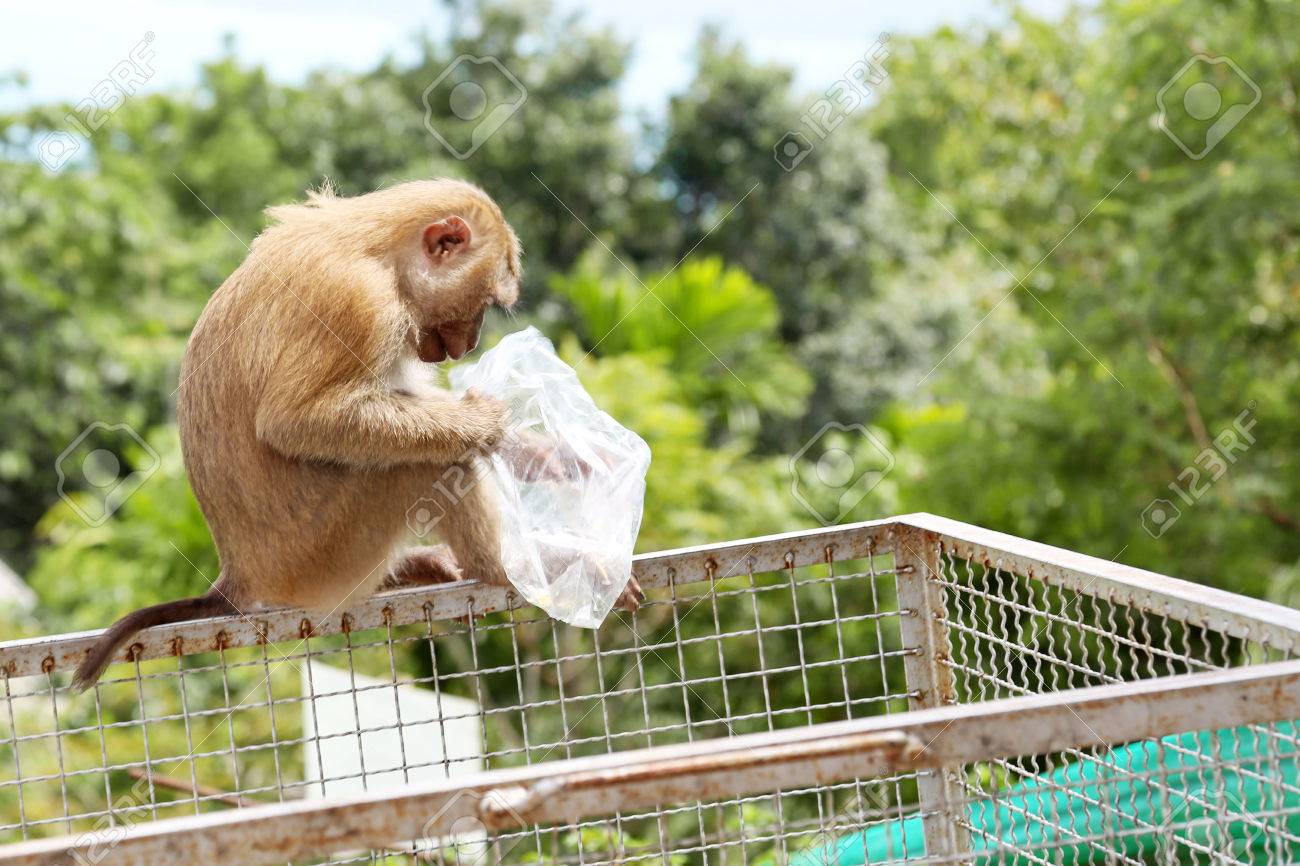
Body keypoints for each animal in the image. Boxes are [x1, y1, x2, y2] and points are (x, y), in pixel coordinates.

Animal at [72, 179, 643, 690]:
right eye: (483, 303)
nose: (470, 343)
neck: (376, 248)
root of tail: (241, 573)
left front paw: (546, 454)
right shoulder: (361, 303)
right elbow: (298, 421)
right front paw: (487, 425)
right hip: (323, 553)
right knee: (431, 462)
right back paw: (501, 566)